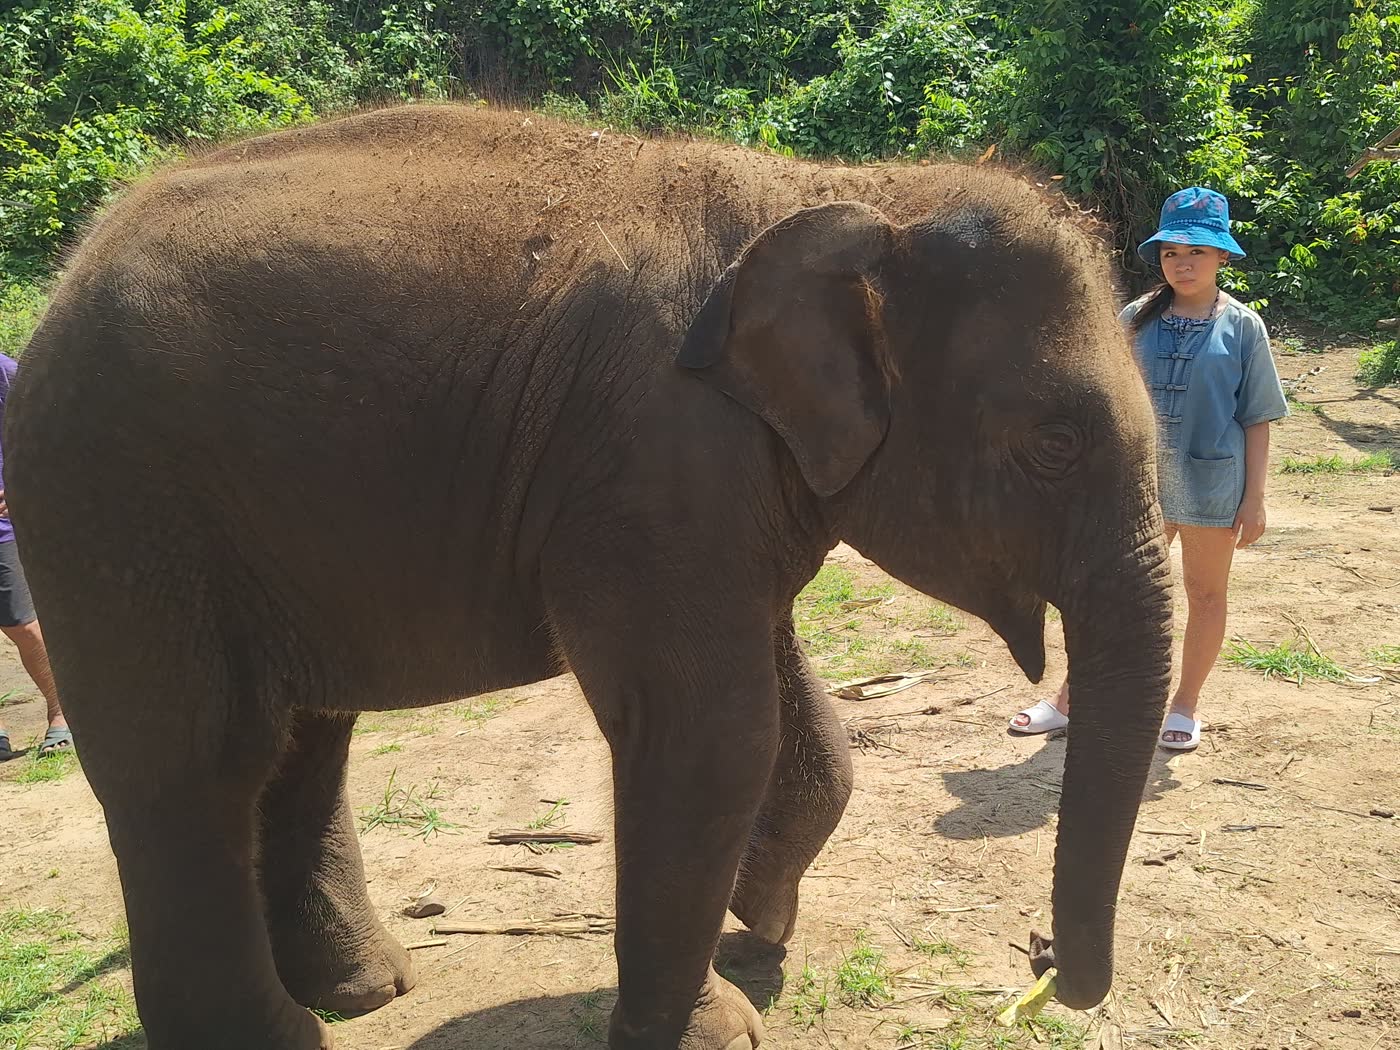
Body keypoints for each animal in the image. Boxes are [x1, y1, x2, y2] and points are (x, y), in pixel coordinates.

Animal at [6, 104, 1172, 1050]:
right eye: (1054, 445)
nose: (1044, 970)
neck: (837, 189)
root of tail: (67, 276)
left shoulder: (728, 484)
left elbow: (793, 716)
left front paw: (752, 927)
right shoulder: (654, 467)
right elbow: (711, 732)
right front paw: (716, 1024)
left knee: (303, 740)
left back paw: (368, 991)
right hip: (114, 508)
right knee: (197, 759)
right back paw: (289, 1033)